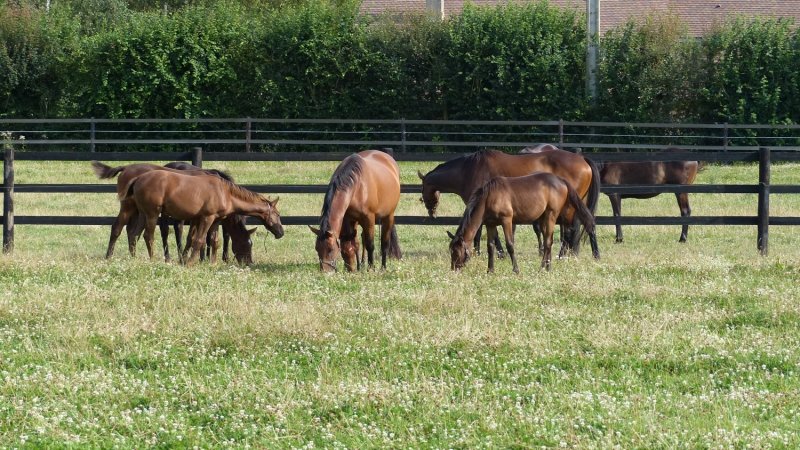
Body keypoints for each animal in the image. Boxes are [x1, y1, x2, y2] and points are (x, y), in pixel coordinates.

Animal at [92, 161, 254, 264]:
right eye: (247, 244)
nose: (249, 262)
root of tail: (126, 168)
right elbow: (197, 237)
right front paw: (192, 258)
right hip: (129, 207)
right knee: (118, 228)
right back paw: (109, 256)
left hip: (138, 211)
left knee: (132, 231)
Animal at [120, 170, 283, 266]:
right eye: (278, 214)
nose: (281, 233)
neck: (225, 193)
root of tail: (138, 178)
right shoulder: (206, 218)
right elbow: (199, 240)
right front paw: (190, 263)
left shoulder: (215, 220)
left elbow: (213, 241)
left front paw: (212, 263)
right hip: (152, 214)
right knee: (148, 236)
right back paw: (153, 259)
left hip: (142, 214)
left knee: (134, 234)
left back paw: (134, 258)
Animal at [418, 148, 600, 258]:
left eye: (422, 189)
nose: (432, 214)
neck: (467, 170)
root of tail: (582, 158)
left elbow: (482, 231)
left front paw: (489, 252)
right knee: (586, 224)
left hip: (569, 206)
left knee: (572, 228)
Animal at [448, 172, 598, 273]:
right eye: (451, 251)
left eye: (457, 252)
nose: (454, 269)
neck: (489, 197)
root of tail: (561, 180)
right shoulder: (490, 224)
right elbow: (490, 247)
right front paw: (490, 271)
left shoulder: (507, 220)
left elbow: (510, 245)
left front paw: (516, 270)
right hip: (543, 218)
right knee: (548, 241)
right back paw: (548, 267)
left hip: (551, 215)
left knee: (548, 242)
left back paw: (543, 267)